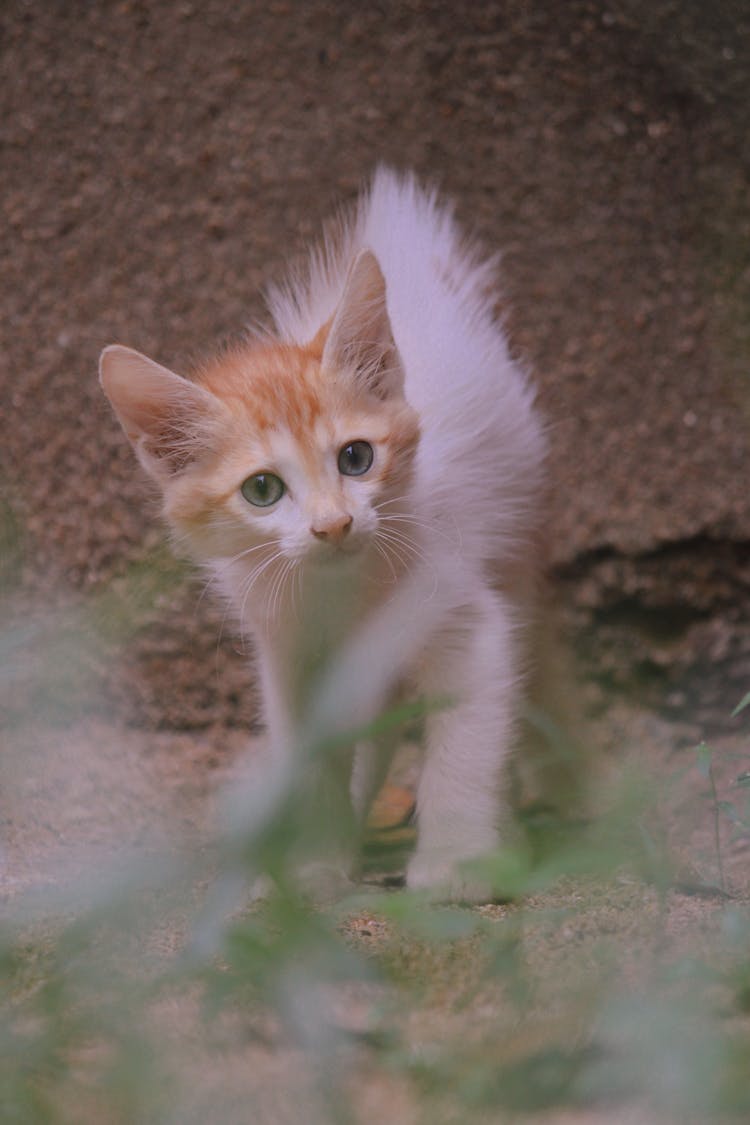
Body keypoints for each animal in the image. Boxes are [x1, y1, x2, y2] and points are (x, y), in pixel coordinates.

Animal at [99, 168, 546, 904]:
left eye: (356, 458)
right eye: (261, 490)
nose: (334, 524)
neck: (344, 589)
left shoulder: (468, 618)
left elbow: (465, 743)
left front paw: (456, 862)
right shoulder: (290, 654)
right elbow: (311, 760)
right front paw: (312, 867)